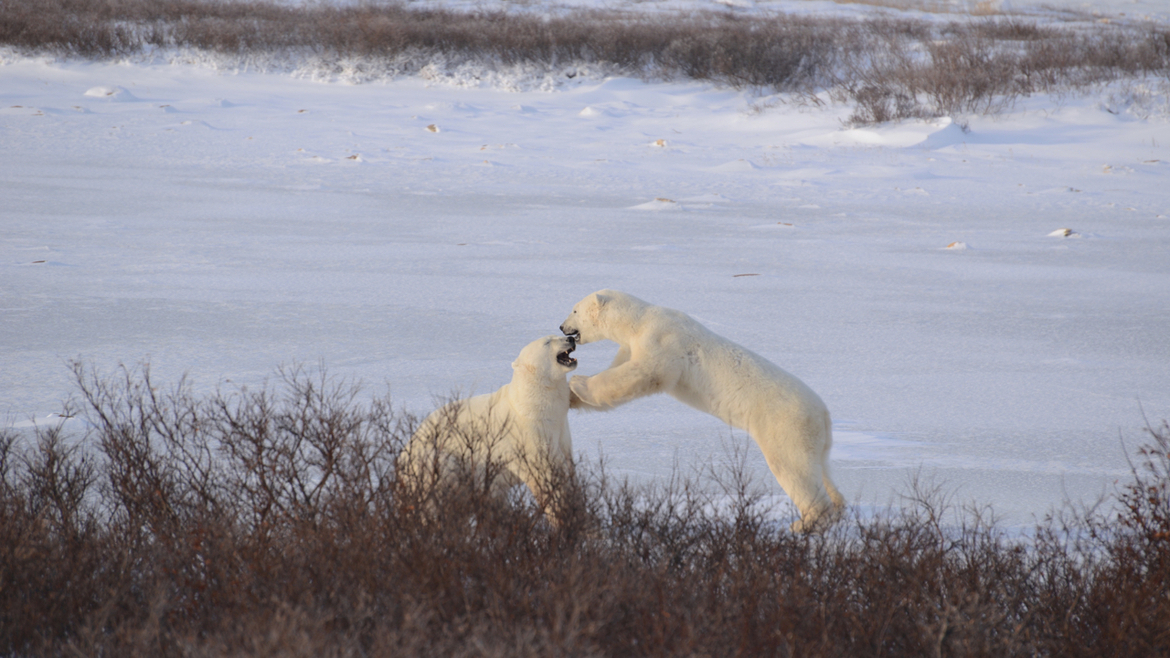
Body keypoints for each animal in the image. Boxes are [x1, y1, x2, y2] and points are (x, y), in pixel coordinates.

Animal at [398, 334, 578, 525]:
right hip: (430, 460)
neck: (530, 405)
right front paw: (560, 518)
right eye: (547, 341)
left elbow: (566, 465)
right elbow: (544, 477)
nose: (570, 338)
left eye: (556, 335)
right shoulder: (528, 434)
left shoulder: (560, 430)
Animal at [559, 289, 843, 532]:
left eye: (574, 309)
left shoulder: (662, 339)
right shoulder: (632, 345)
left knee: (791, 466)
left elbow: (645, 374)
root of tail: (824, 414)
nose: (562, 328)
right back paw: (837, 506)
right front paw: (570, 396)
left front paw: (578, 384)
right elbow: (619, 370)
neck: (640, 320)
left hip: (784, 424)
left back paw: (806, 523)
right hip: (814, 436)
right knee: (821, 467)